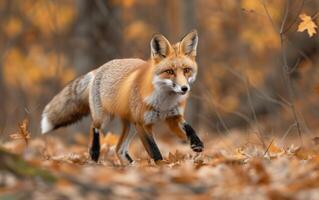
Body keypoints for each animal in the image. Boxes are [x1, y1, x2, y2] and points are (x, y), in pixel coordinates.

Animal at [40, 29, 205, 164]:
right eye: (170, 72)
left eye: (186, 70)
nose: (184, 88)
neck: (164, 102)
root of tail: (99, 68)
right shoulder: (142, 124)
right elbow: (154, 151)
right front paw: (161, 167)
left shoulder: (172, 117)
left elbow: (188, 128)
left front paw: (197, 143)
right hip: (106, 118)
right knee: (94, 127)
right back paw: (94, 152)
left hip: (130, 125)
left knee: (119, 149)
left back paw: (132, 165)